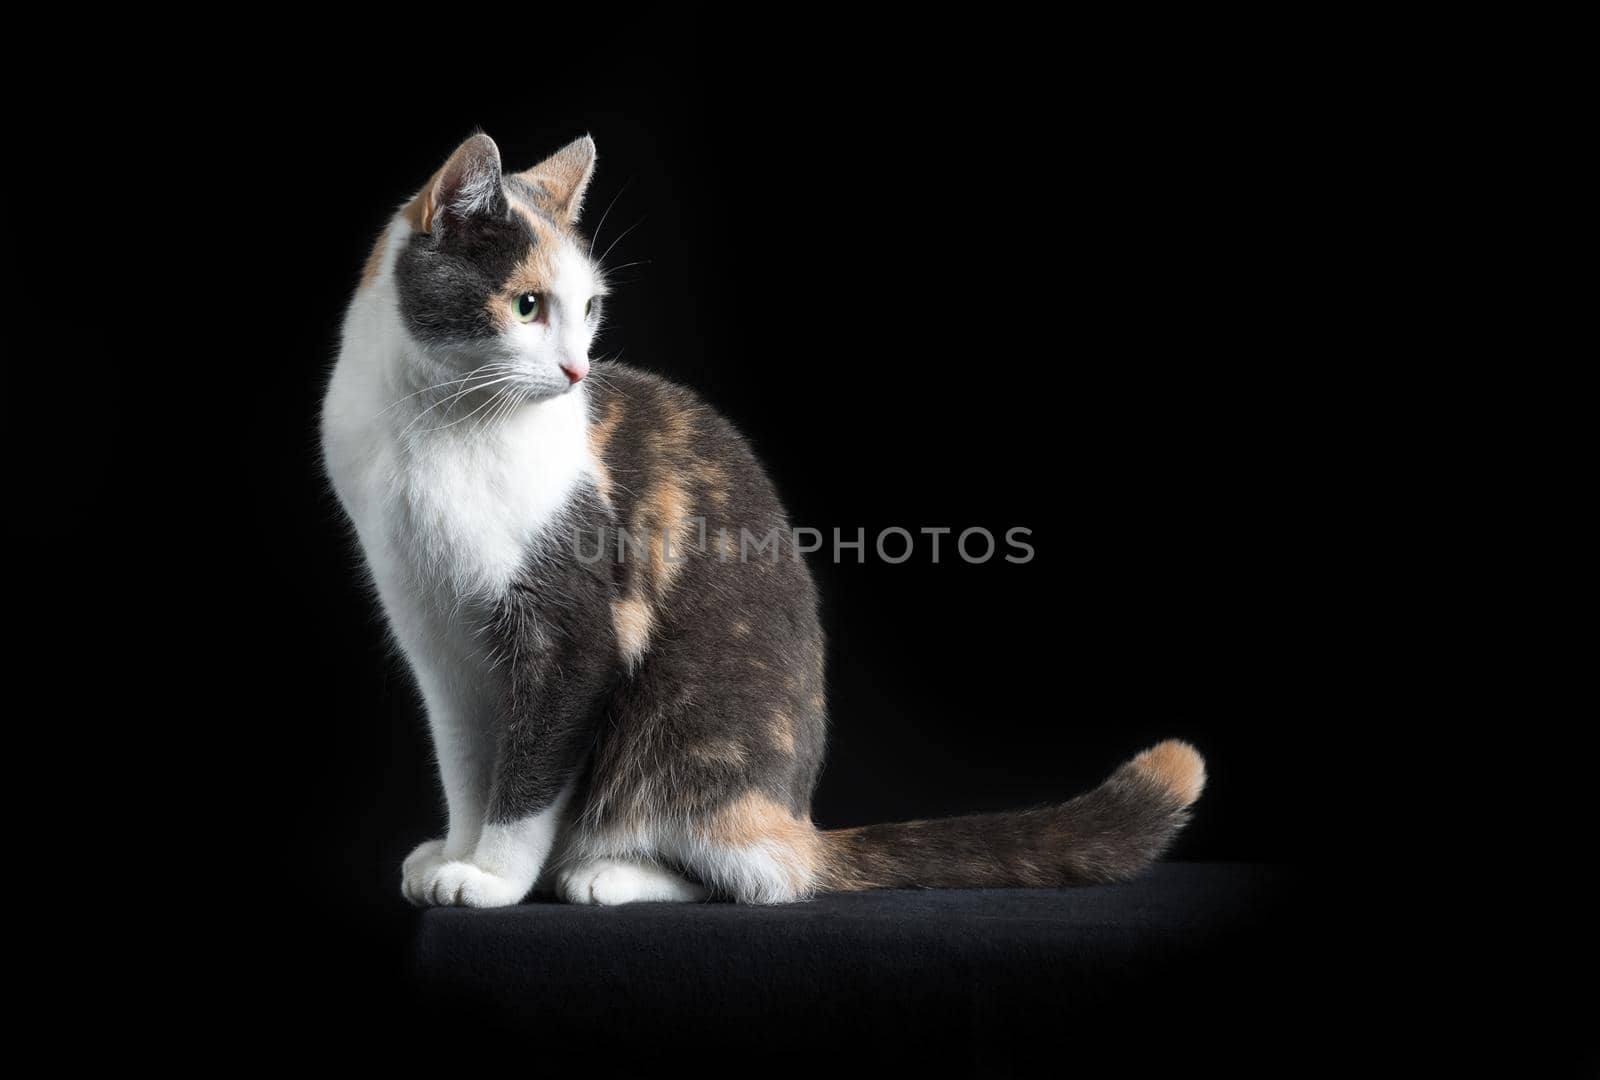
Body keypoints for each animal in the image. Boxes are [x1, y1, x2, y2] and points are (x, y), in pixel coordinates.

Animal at [318, 135, 1203, 908]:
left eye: (588, 308)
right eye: (528, 306)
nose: (575, 370)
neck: (438, 425)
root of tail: (796, 816)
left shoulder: (574, 635)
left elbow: (530, 769)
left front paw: (494, 877)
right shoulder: (437, 638)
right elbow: (469, 762)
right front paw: (459, 850)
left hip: (689, 724)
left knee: (758, 876)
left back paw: (608, 872)